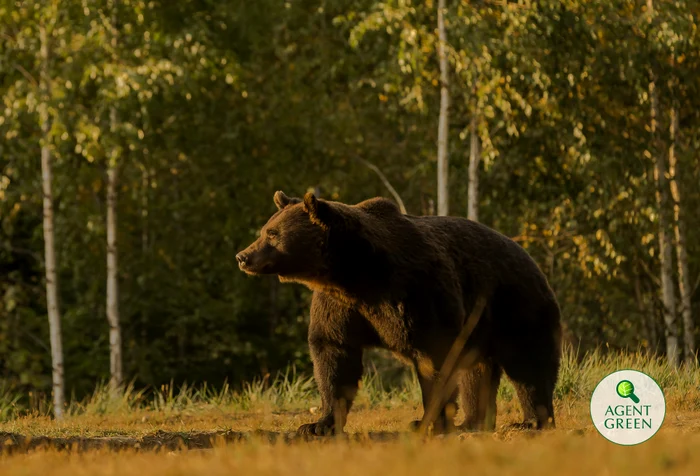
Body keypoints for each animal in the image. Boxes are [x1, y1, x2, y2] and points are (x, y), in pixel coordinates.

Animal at [237, 192, 564, 436]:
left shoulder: (416, 293)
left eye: (272, 234)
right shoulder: (340, 306)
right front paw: (318, 424)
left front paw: (427, 421)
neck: (355, 274)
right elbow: (334, 355)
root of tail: (527, 255)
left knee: (528, 363)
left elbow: (435, 359)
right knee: (478, 371)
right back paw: (473, 422)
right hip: (480, 326)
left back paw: (532, 421)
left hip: (515, 305)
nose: (243, 256)